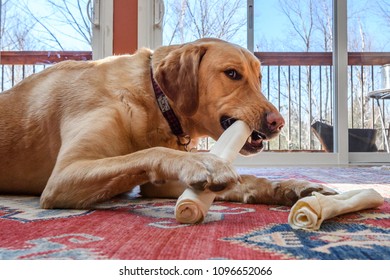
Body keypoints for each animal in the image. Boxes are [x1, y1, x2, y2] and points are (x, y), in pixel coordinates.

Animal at [0, 38, 336, 210]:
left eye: (259, 77)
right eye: (232, 74)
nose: (278, 122)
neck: (153, 97)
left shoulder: (161, 185)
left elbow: (245, 180)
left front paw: (288, 187)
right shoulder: (64, 176)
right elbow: (151, 153)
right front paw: (203, 161)